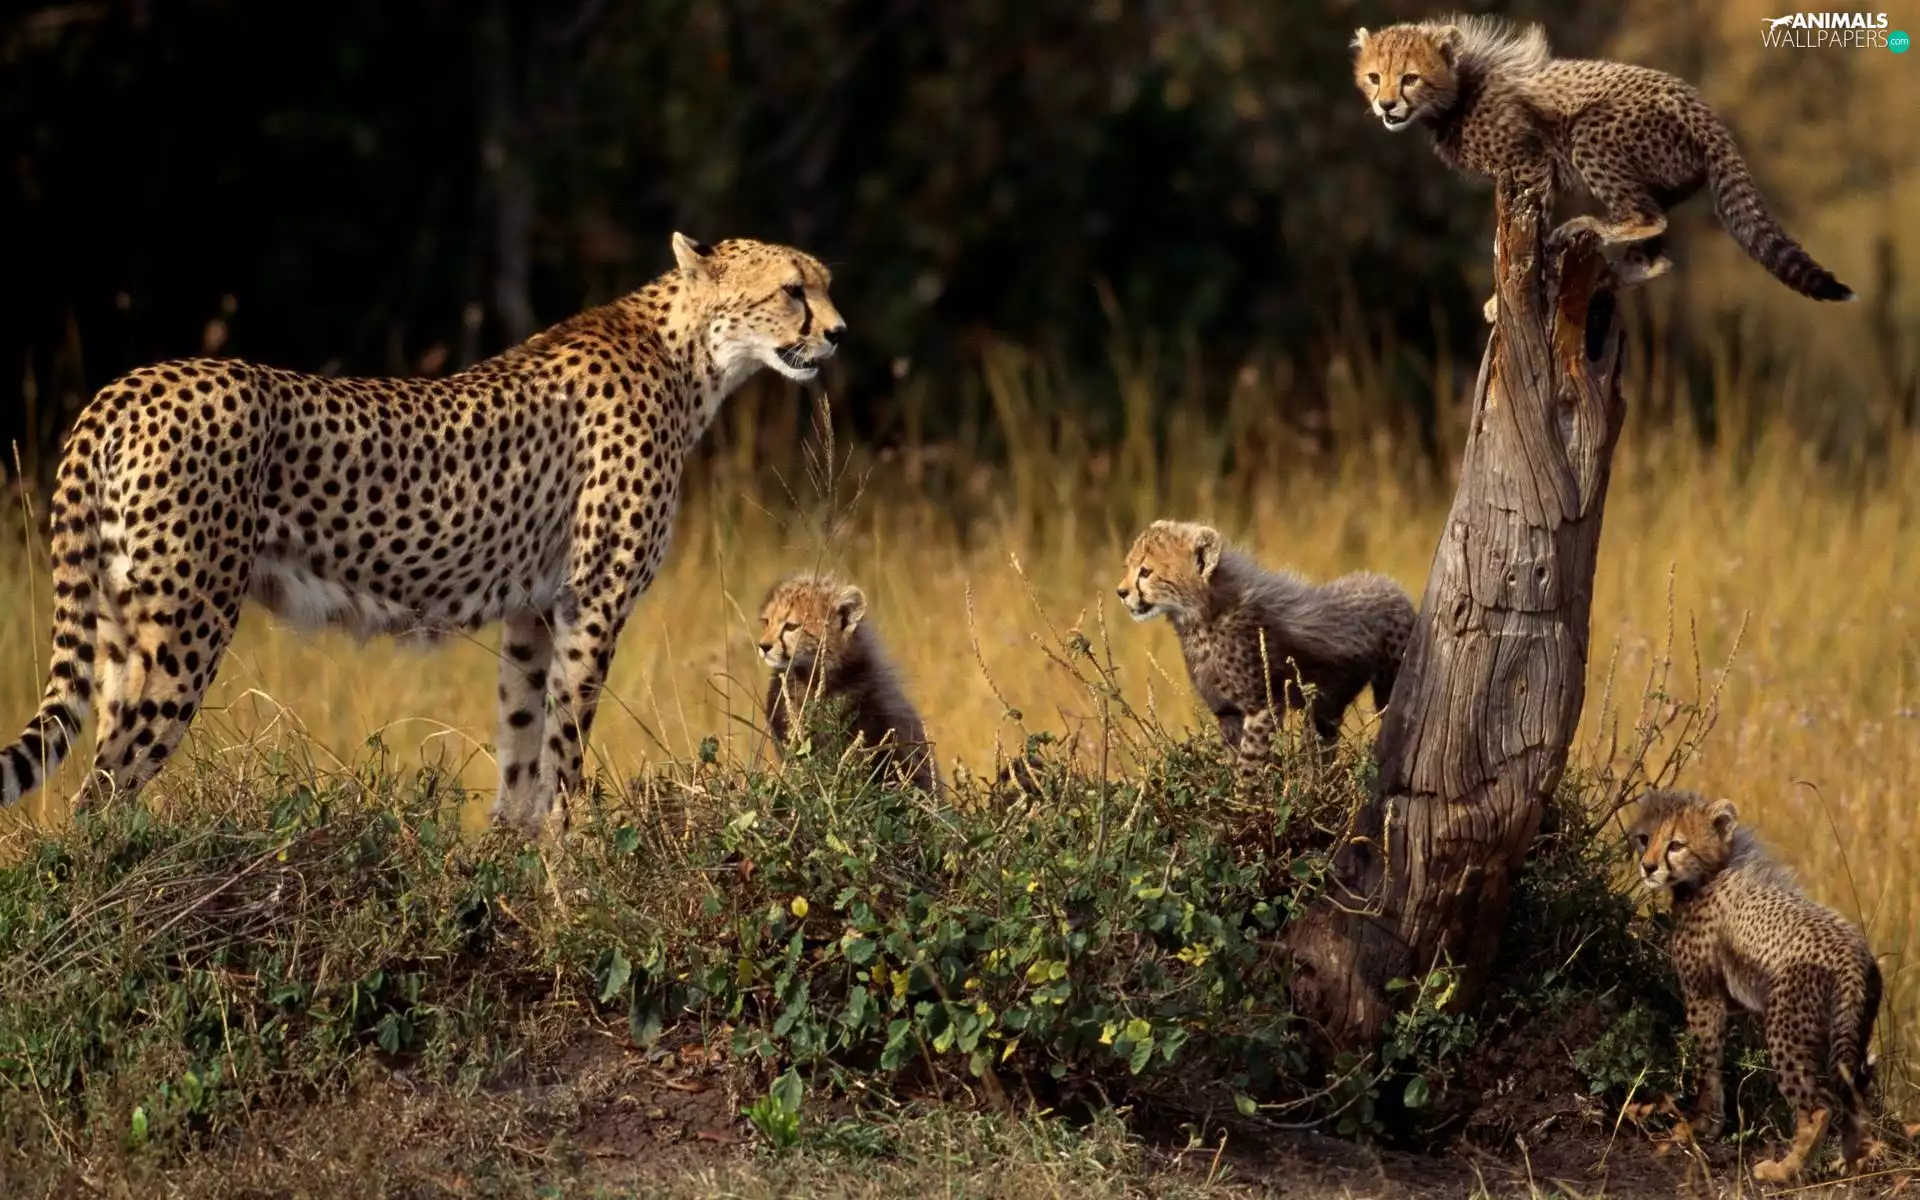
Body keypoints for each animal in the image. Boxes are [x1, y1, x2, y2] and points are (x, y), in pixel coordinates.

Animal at [1, 233, 846, 837]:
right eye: (791, 290)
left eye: (825, 284)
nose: (838, 334)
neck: (689, 355)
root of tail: (125, 386)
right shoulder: (593, 604)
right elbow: (566, 746)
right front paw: (574, 860)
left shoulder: (533, 613)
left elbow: (522, 741)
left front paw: (514, 857)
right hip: (186, 628)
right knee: (101, 791)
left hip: (123, 627)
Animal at [1114, 520, 1414, 765]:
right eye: (1129, 567)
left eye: (1145, 571)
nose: (1121, 592)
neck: (1202, 616)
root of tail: (1390, 583)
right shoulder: (1227, 712)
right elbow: (1232, 760)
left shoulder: (1262, 707)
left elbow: (1249, 765)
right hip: (1328, 704)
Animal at [1351, 14, 1854, 322]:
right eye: (1374, 77)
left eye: (1410, 77)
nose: (1386, 105)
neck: (1459, 91)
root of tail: (1700, 106)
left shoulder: (1530, 162)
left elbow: (1531, 232)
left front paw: (1502, 297)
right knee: (1659, 253)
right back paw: (1622, 270)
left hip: (1590, 132)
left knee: (1648, 217)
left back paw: (1587, 228)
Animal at [1629, 788, 1883, 1184]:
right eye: (1644, 838)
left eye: (1676, 844)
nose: (1649, 866)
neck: (1710, 872)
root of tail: (1856, 957)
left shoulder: (1704, 997)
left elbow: (1707, 1063)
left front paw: (1701, 1125)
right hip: (1849, 1031)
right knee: (1854, 1093)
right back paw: (1849, 1161)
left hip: (1786, 1030)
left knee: (1818, 1108)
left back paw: (1783, 1169)